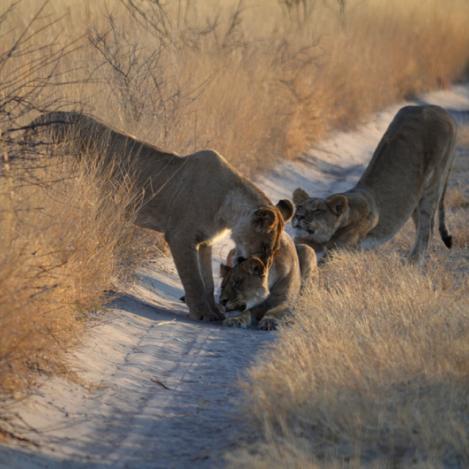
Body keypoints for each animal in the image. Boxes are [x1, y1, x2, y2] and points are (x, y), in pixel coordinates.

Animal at [25, 111, 292, 320]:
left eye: (274, 250)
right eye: (266, 247)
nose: (264, 269)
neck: (228, 208)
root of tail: (37, 120)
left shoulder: (205, 242)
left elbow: (207, 280)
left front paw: (214, 311)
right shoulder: (180, 237)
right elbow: (193, 279)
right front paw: (202, 313)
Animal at [290, 104, 456, 264]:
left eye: (317, 210)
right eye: (299, 207)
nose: (299, 216)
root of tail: (440, 110)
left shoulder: (341, 251)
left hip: (432, 186)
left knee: (426, 229)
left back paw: (413, 263)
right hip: (415, 197)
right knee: (424, 226)